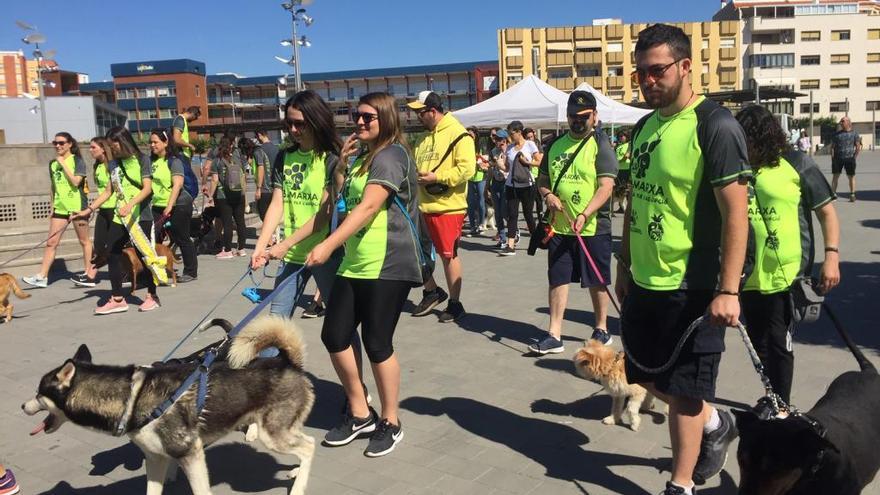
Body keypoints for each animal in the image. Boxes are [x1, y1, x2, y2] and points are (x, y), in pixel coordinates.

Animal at [20, 318, 318, 495]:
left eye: (38, 392)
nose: (22, 405)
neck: (132, 397)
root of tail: (286, 361)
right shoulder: (155, 458)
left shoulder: (192, 454)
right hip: (282, 430)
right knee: (305, 443)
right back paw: (295, 471)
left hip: (272, 435)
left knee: (309, 446)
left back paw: (298, 485)